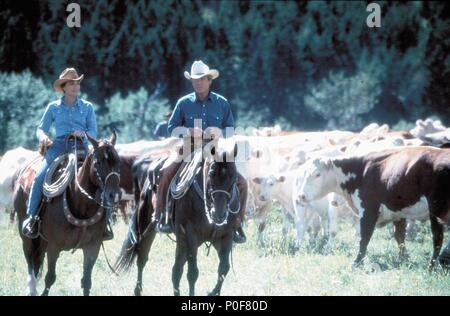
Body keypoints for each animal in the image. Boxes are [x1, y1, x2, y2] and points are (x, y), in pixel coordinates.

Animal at [13, 131, 121, 296]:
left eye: (118, 162)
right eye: (97, 163)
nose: (112, 194)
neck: (81, 205)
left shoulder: (93, 247)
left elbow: (86, 281)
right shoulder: (54, 247)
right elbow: (50, 278)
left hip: (42, 241)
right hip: (26, 235)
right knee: (30, 259)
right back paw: (31, 288)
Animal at [117, 143, 243, 296]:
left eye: (234, 177)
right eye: (211, 174)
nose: (219, 214)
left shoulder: (225, 236)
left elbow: (224, 268)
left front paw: (212, 292)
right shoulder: (191, 236)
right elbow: (193, 273)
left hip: (182, 242)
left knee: (176, 270)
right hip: (147, 227)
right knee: (142, 258)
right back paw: (138, 290)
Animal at [296, 147, 450, 268]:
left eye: (317, 174)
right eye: (304, 174)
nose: (301, 196)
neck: (360, 171)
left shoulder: (368, 210)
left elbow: (364, 237)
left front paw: (357, 262)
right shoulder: (397, 212)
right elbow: (400, 237)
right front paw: (404, 259)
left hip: (436, 209)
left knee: (437, 238)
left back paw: (432, 265)